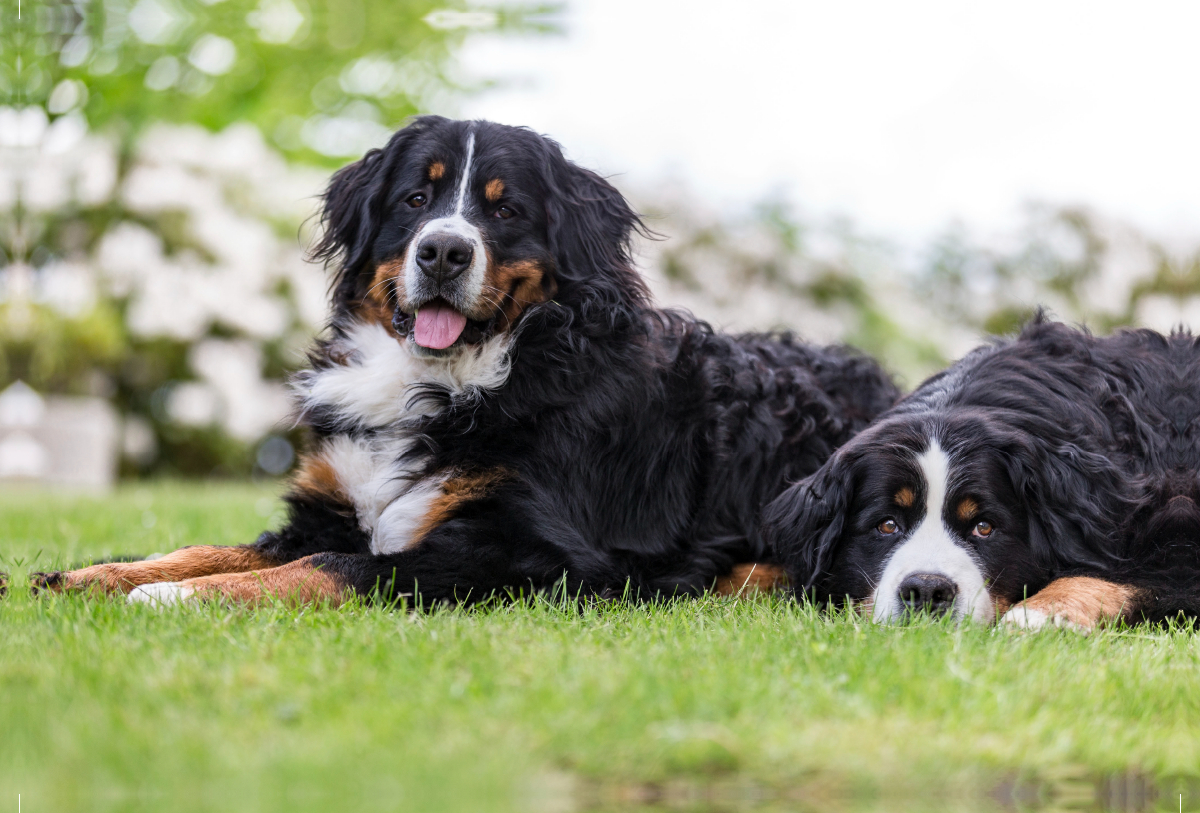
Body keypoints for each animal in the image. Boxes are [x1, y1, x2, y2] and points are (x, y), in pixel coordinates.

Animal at [28, 118, 897, 609]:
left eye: (505, 208)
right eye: (417, 199)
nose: (444, 250)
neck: (453, 381)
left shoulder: (529, 550)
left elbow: (335, 565)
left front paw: (177, 595)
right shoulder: (329, 504)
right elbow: (223, 545)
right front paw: (88, 575)